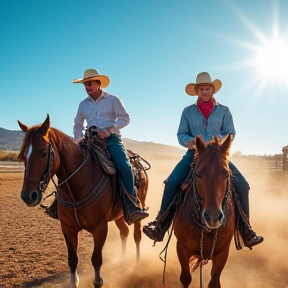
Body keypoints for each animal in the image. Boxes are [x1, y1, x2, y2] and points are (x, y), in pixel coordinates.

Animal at [16, 115, 148, 288]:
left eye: (44, 153)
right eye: (23, 155)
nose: (27, 196)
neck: (78, 185)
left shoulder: (100, 228)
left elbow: (96, 261)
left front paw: (98, 280)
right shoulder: (67, 228)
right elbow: (72, 260)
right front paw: (74, 281)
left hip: (138, 208)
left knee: (137, 235)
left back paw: (137, 265)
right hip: (118, 214)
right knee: (124, 232)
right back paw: (122, 260)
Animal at [173, 134, 234, 288]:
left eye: (226, 174)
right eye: (198, 174)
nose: (212, 217)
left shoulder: (222, 253)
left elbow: (214, 282)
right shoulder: (182, 249)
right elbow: (185, 278)